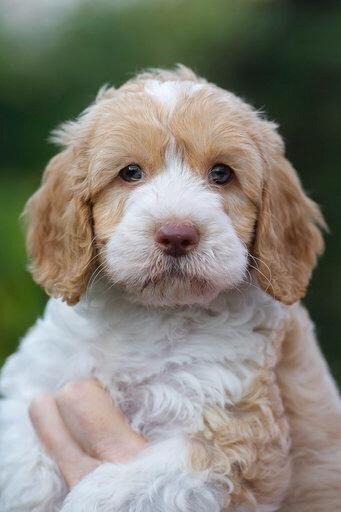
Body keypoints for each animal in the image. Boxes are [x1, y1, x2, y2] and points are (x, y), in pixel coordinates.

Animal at [0, 68, 326, 512]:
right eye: (130, 172)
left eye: (222, 174)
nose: (176, 234)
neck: (149, 313)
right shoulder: (37, 379)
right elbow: (20, 453)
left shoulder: (236, 438)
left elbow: (138, 480)